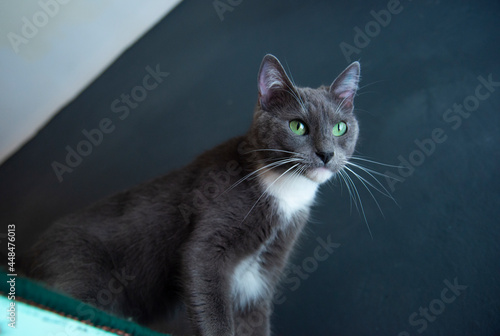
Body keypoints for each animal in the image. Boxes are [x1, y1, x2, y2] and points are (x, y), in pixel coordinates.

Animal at [28, 55, 360, 336]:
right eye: (297, 125)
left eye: (340, 128)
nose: (327, 154)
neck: (285, 191)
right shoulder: (208, 244)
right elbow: (208, 293)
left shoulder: (260, 276)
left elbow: (253, 321)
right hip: (80, 270)